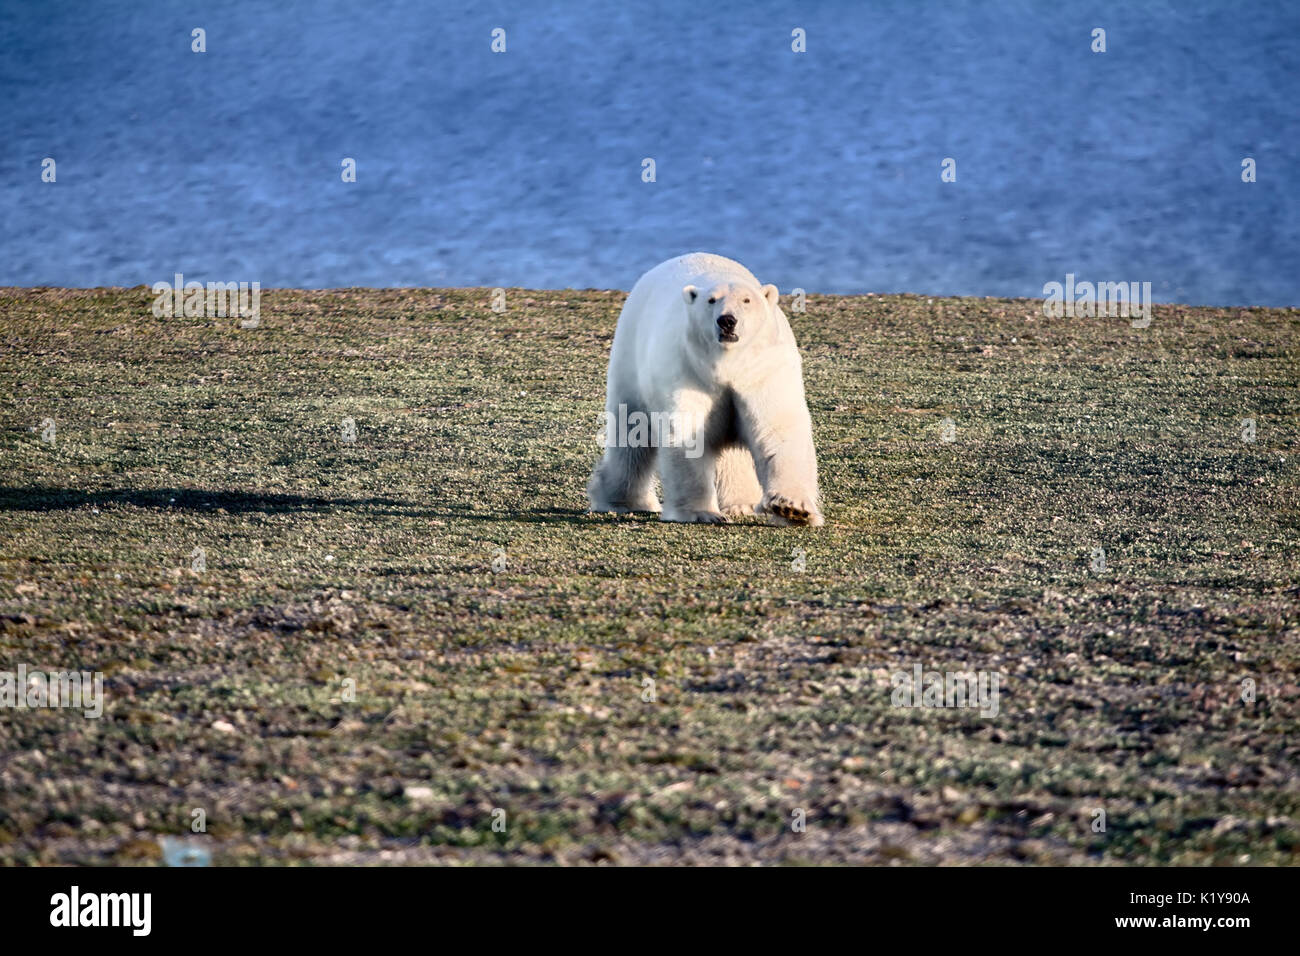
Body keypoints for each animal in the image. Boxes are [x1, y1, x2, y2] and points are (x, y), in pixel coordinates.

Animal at [590, 251, 821, 528]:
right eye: (711, 300)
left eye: (746, 300)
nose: (727, 320)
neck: (726, 363)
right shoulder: (687, 369)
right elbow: (689, 433)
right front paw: (701, 512)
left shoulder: (761, 371)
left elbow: (776, 427)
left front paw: (792, 508)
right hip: (630, 359)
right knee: (631, 435)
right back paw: (621, 500)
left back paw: (741, 504)